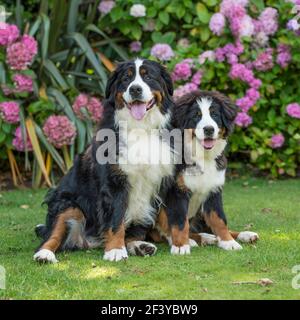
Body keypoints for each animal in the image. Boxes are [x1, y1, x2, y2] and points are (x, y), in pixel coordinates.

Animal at [33, 58, 176, 264]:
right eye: (126, 78)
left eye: (148, 76)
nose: (135, 89)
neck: (140, 128)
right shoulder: (114, 183)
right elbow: (116, 219)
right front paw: (115, 250)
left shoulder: (163, 180)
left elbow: (167, 216)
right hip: (67, 203)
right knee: (53, 234)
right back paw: (44, 254)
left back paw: (139, 246)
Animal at [154, 90, 258, 252]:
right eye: (196, 115)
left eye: (214, 114)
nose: (209, 129)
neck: (203, 157)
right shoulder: (176, 191)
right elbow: (179, 221)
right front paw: (181, 245)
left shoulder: (214, 190)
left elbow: (219, 219)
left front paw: (228, 242)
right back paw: (197, 239)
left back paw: (243, 235)